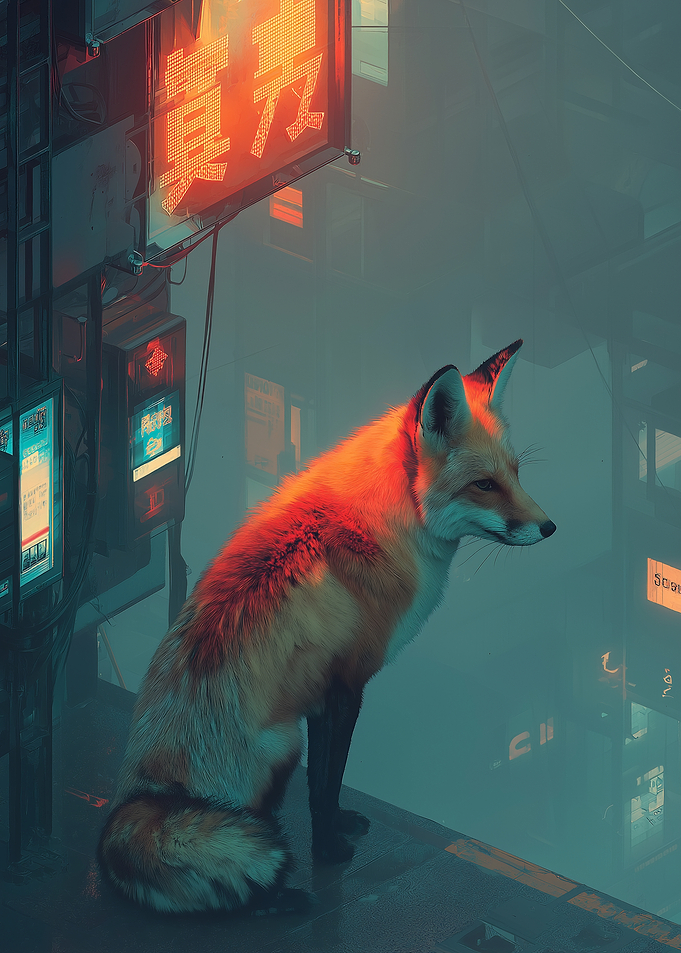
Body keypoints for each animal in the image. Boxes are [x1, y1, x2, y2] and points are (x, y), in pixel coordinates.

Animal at [97, 339, 555, 916]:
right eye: (483, 485)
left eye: (516, 473)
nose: (549, 527)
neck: (388, 521)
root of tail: (135, 800)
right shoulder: (344, 685)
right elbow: (327, 782)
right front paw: (329, 851)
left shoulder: (320, 695)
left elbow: (326, 784)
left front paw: (338, 829)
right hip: (282, 744)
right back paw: (281, 900)